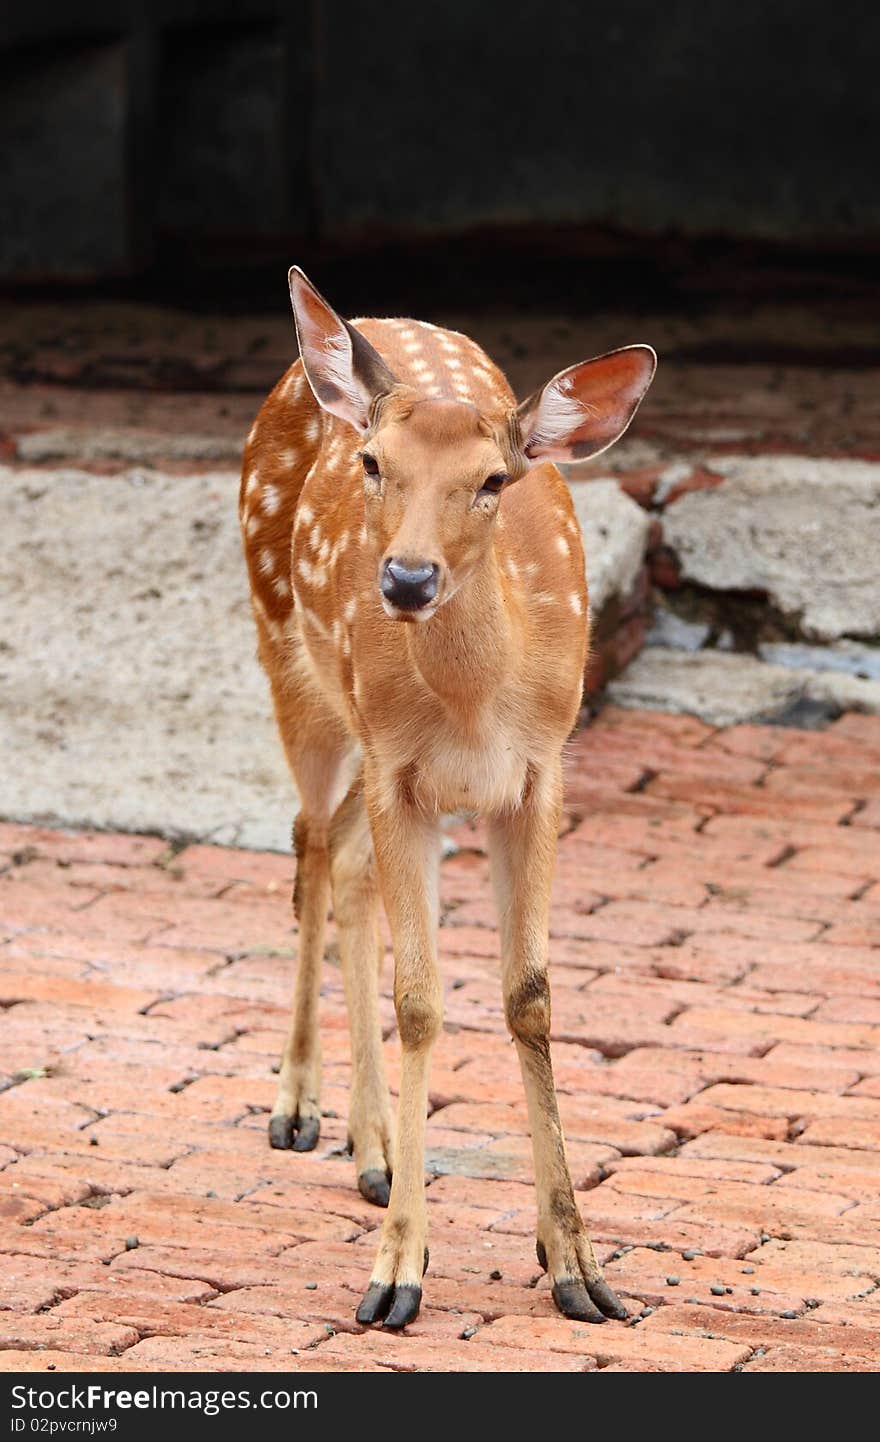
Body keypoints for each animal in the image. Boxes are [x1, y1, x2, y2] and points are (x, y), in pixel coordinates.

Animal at [238, 271, 652, 1326]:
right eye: (374, 464)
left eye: (494, 481)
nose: (407, 578)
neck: (474, 709)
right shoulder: (401, 772)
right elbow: (422, 1001)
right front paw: (396, 1276)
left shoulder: (541, 771)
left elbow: (530, 997)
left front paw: (577, 1265)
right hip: (292, 664)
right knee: (309, 843)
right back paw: (299, 1109)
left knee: (342, 862)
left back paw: (372, 1148)